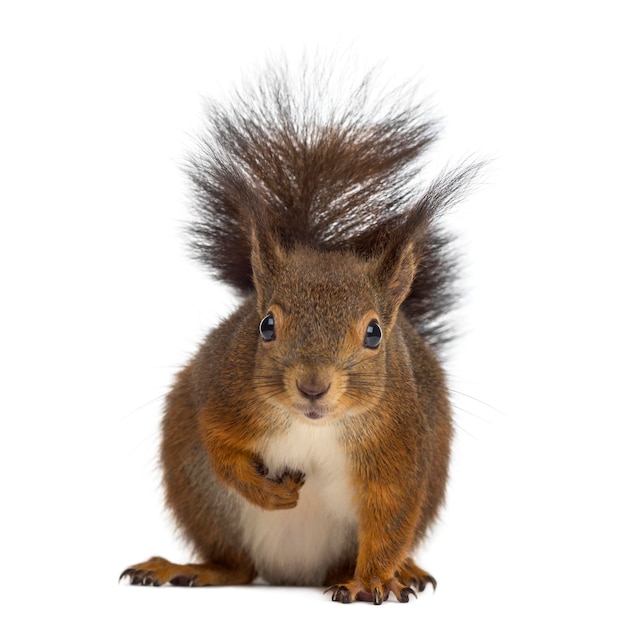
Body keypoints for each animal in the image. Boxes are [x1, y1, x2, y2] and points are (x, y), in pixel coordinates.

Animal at [120, 62, 474, 600]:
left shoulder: (401, 445)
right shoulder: (221, 391)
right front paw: (266, 491)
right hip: (199, 492)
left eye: (374, 333)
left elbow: (390, 517)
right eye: (265, 325)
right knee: (236, 566)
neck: (315, 426)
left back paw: (393, 572)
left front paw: (372, 582)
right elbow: (220, 447)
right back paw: (188, 569)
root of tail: (294, 572)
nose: (312, 386)